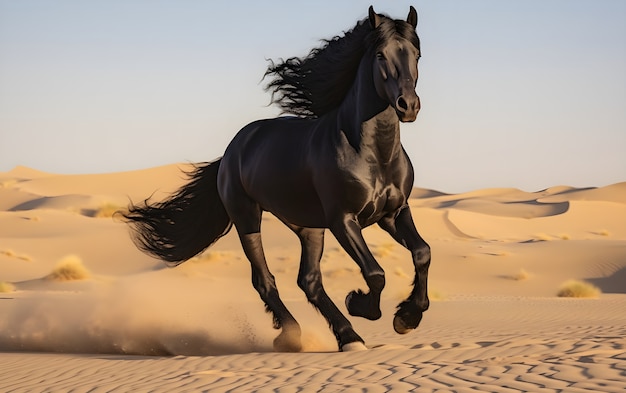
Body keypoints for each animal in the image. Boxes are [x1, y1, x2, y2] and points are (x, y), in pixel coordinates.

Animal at [125, 6, 432, 350]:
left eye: (417, 55)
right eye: (380, 55)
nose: (408, 106)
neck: (372, 153)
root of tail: (233, 149)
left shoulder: (393, 213)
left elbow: (422, 253)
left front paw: (407, 318)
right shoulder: (343, 220)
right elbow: (375, 273)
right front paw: (360, 303)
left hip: (308, 227)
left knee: (309, 281)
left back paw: (347, 336)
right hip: (247, 218)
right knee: (264, 279)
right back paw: (295, 334)